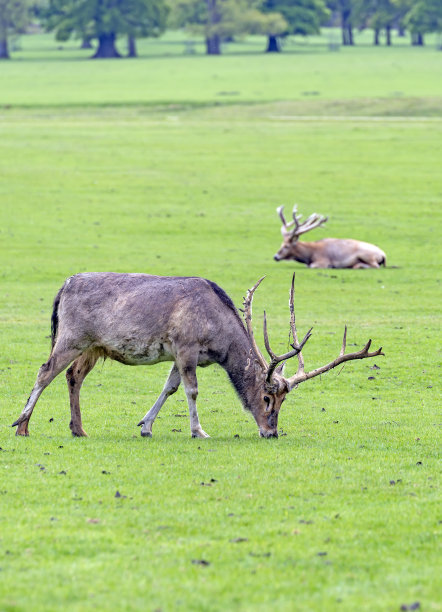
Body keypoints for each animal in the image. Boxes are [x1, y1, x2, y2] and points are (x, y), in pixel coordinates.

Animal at [12, 274, 382, 440]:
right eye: (266, 398)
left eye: (283, 402)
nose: (271, 432)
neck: (218, 340)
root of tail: (63, 287)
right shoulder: (186, 345)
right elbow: (191, 390)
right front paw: (198, 430)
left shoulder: (179, 355)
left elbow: (170, 387)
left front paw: (145, 426)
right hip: (71, 336)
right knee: (45, 371)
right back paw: (22, 426)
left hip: (94, 346)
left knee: (72, 375)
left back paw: (78, 429)